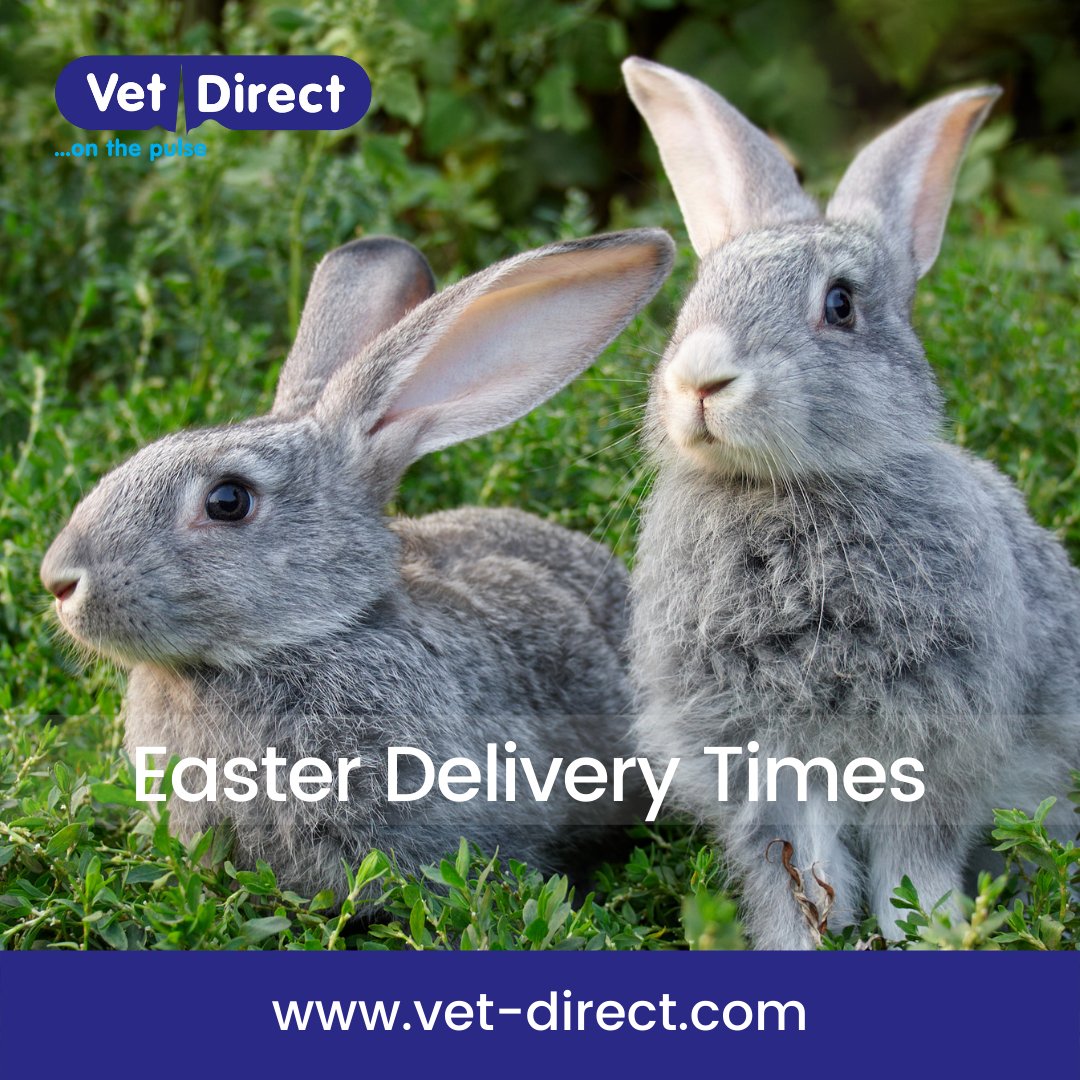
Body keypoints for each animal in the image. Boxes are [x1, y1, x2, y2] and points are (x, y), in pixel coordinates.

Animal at [622, 56, 1080, 949]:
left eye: (840, 304)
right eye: (699, 294)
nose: (699, 379)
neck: (782, 494)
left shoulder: (933, 749)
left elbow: (916, 865)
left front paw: (931, 935)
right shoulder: (763, 767)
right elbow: (795, 872)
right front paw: (801, 940)